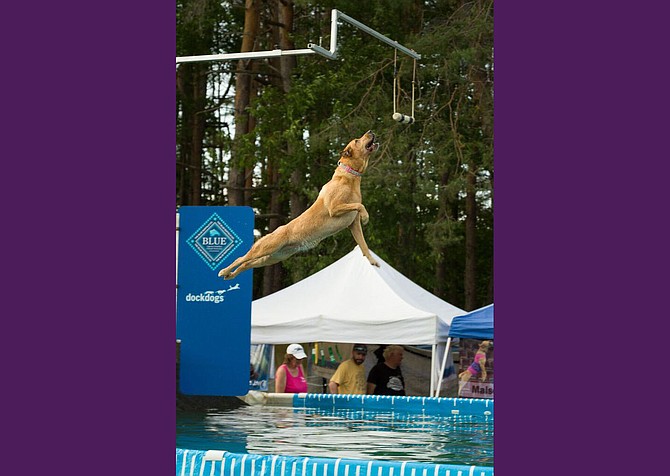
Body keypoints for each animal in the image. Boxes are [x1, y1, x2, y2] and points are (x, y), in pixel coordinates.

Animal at [219, 129, 380, 278]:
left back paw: (230, 275)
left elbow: (363, 244)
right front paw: (366, 217)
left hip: (272, 257)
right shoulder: (334, 208)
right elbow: (359, 205)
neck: (350, 176)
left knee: (246, 264)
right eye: (357, 140)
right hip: (265, 247)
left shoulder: (353, 224)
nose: (370, 131)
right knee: (241, 258)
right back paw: (224, 271)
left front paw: (372, 261)